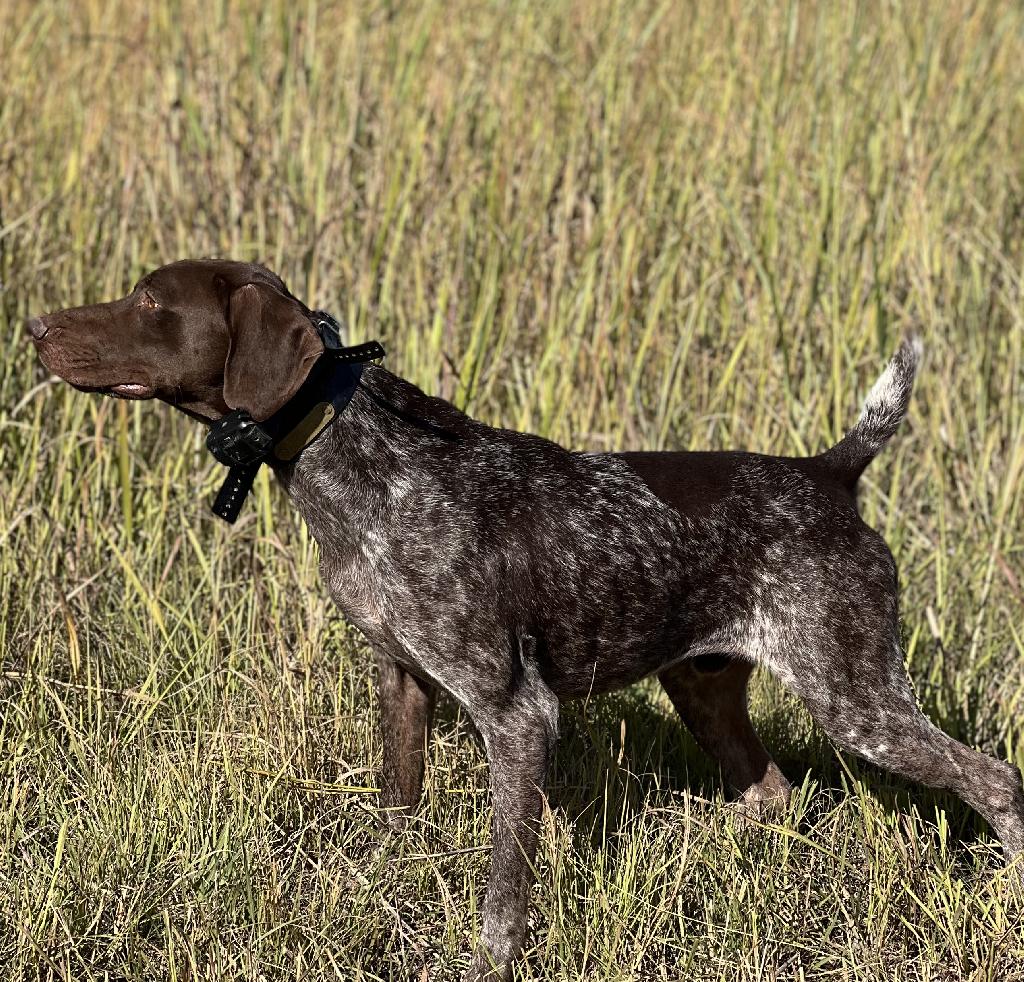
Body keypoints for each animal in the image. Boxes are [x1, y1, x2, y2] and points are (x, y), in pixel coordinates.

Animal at [28, 257, 1024, 978]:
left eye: (149, 301)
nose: (34, 327)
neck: (360, 463)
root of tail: (829, 473)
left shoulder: (514, 715)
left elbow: (506, 884)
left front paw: (488, 960)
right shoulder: (402, 678)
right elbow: (396, 806)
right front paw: (375, 888)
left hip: (857, 698)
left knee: (996, 780)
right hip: (706, 687)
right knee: (771, 791)